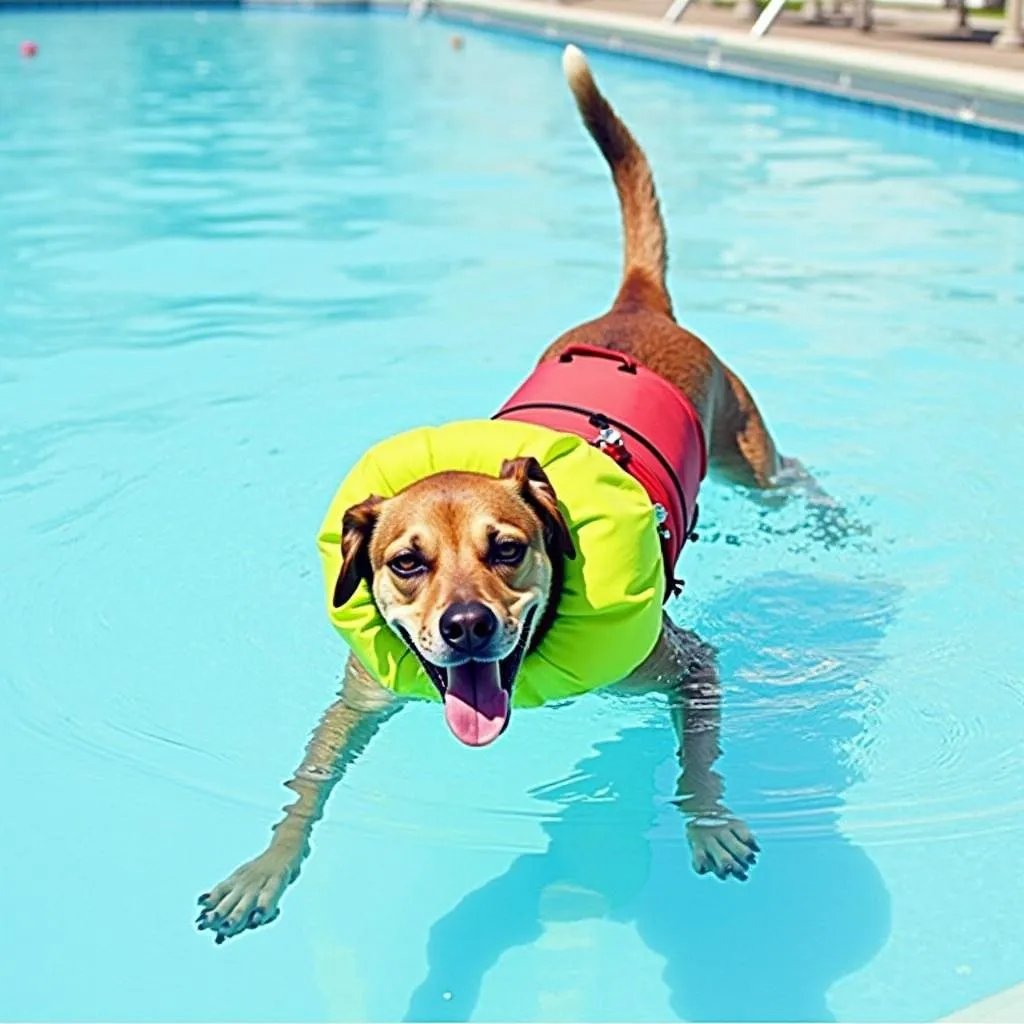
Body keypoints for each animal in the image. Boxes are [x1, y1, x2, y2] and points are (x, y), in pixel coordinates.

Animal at [193, 46, 798, 942]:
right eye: (406, 564)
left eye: (507, 549)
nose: (468, 625)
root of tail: (633, 303)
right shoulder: (360, 696)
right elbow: (309, 780)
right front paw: (262, 869)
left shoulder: (689, 667)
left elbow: (700, 758)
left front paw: (710, 822)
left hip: (744, 449)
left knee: (788, 479)